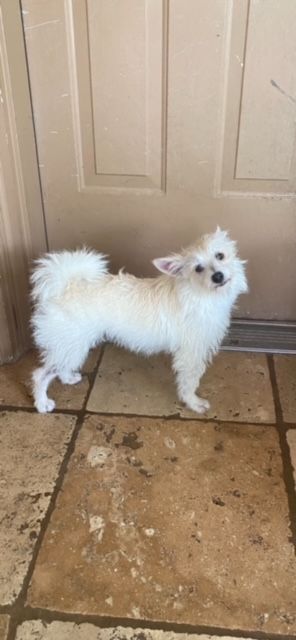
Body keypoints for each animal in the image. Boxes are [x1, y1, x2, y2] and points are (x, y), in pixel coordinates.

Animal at [30, 229, 247, 416]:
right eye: (198, 268)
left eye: (220, 256)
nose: (217, 276)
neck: (200, 292)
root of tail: (64, 285)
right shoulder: (191, 353)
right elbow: (189, 380)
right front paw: (193, 403)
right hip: (71, 343)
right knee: (41, 374)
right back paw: (42, 404)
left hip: (72, 345)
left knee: (60, 366)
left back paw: (68, 378)